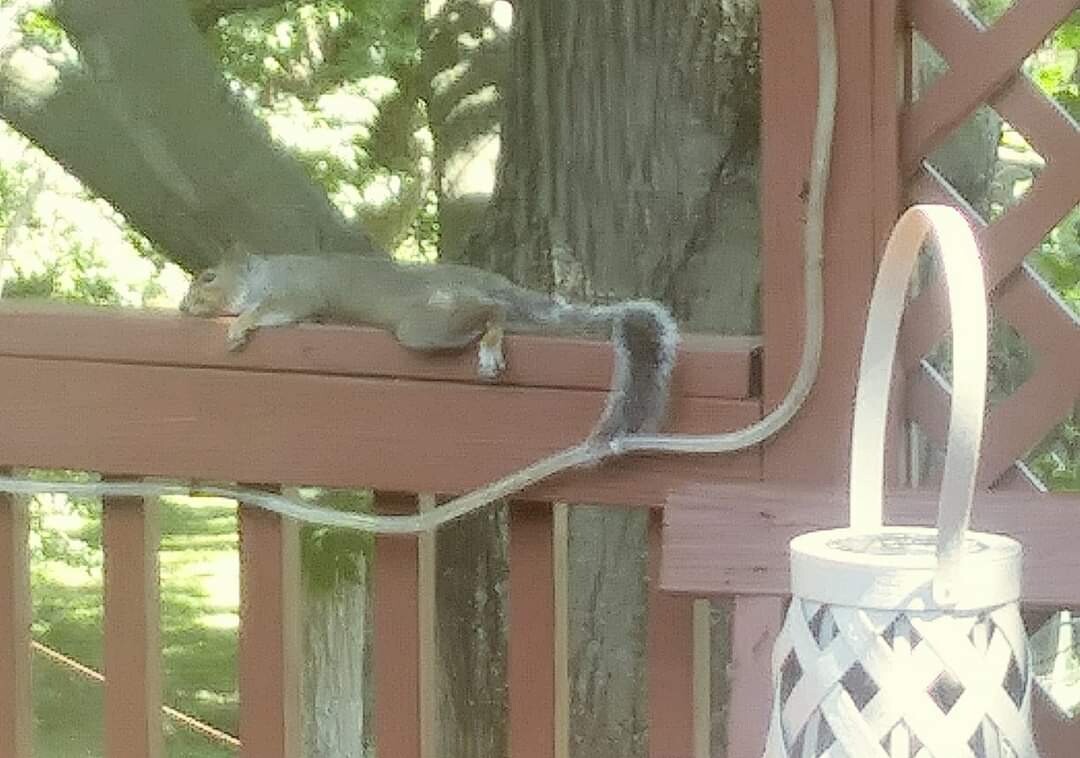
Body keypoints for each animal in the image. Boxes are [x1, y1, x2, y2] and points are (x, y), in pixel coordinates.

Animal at [180, 251, 679, 446]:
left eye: (208, 277)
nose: (183, 307)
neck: (266, 274)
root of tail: (485, 281)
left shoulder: (299, 294)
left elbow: (269, 312)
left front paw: (238, 326)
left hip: (427, 323)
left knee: (493, 311)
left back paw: (490, 346)